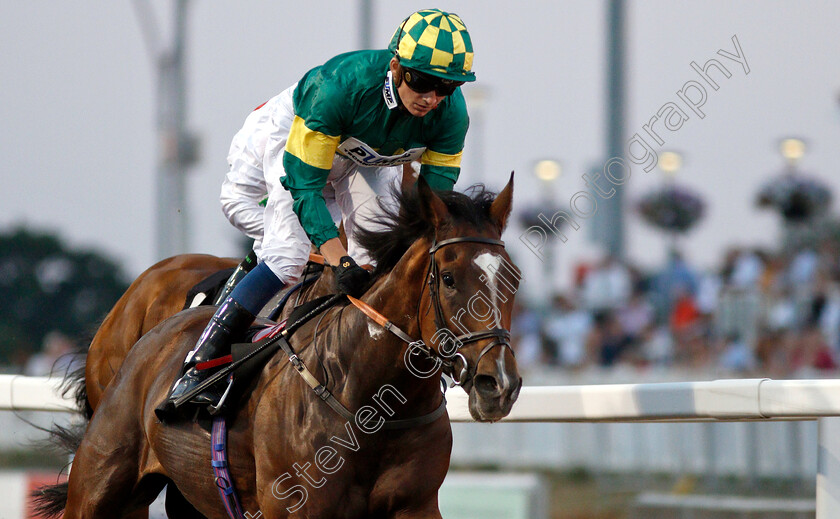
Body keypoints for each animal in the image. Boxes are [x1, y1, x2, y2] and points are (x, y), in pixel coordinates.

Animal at [47, 177, 520, 516]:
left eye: (513, 279)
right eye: (449, 278)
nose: (498, 384)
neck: (370, 400)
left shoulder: (415, 504)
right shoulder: (294, 506)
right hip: (98, 487)